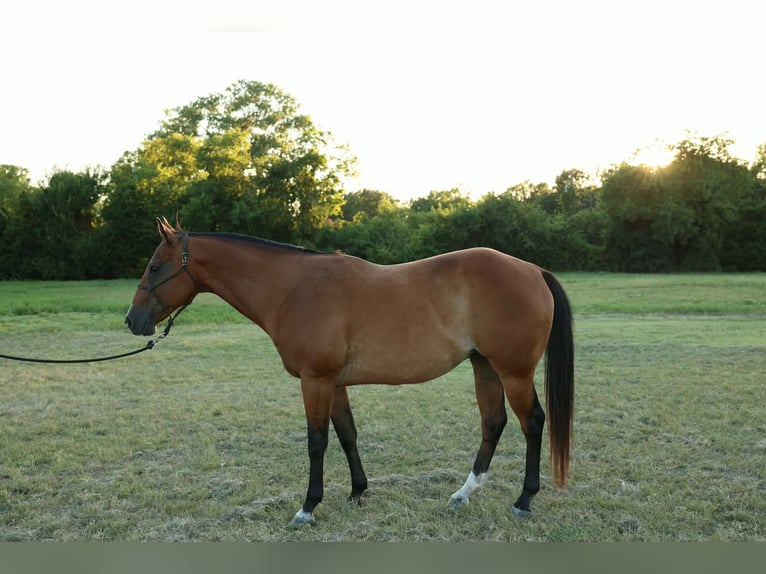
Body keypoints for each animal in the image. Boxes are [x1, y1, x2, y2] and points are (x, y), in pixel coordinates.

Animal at [125, 217, 574, 526]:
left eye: (154, 266)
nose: (133, 321)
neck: (292, 289)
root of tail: (532, 270)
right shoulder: (334, 383)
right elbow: (347, 435)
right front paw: (358, 491)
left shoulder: (316, 381)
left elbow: (317, 442)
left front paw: (307, 508)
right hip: (485, 367)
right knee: (493, 423)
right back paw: (464, 493)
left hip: (513, 372)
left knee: (533, 422)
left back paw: (524, 500)